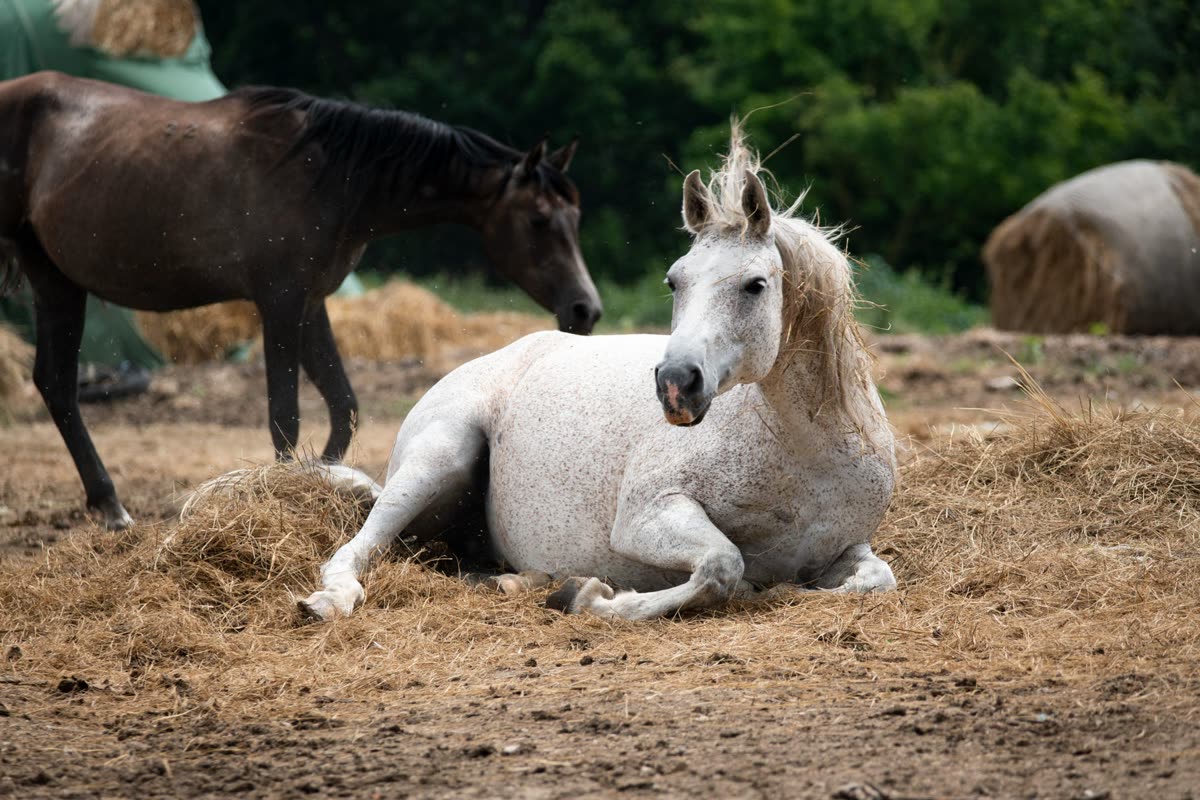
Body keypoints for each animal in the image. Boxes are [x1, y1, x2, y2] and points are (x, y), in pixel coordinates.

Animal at [0, 71, 601, 530]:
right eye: (538, 220)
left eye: (575, 217)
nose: (585, 310)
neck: (331, 177)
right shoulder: (281, 303)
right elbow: (286, 417)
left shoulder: (311, 304)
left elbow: (343, 406)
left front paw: (328, 482)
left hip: (55, 279)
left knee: (56, 384)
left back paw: (109, 505)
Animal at [297, 126, 896, 622]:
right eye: (674, 281)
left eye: (756, 285)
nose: (675, 384)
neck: (805, 452)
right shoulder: (644, 518)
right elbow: (724, 566)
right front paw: (591, 597)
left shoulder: (850, 547)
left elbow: (876, 578)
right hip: (434, 460)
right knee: (358, 548)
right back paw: (329, 600)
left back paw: (518, 582)